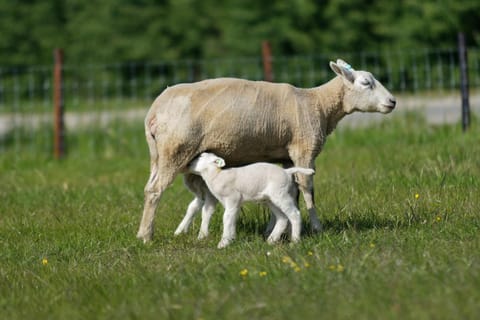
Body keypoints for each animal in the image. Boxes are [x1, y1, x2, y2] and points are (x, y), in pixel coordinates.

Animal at [188, 152, 316, 248]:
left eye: (201, 157)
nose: (188, 163)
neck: (216, 175)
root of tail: (287, 171)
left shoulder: (232, 198)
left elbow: (226, 218)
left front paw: (223, 243)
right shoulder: (232, 203)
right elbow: (232, 219)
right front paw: (231, 239)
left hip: (281, 194)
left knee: (295, 214)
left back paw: (295, 241)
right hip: (271, 199)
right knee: (282, 218)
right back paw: (271, 240)